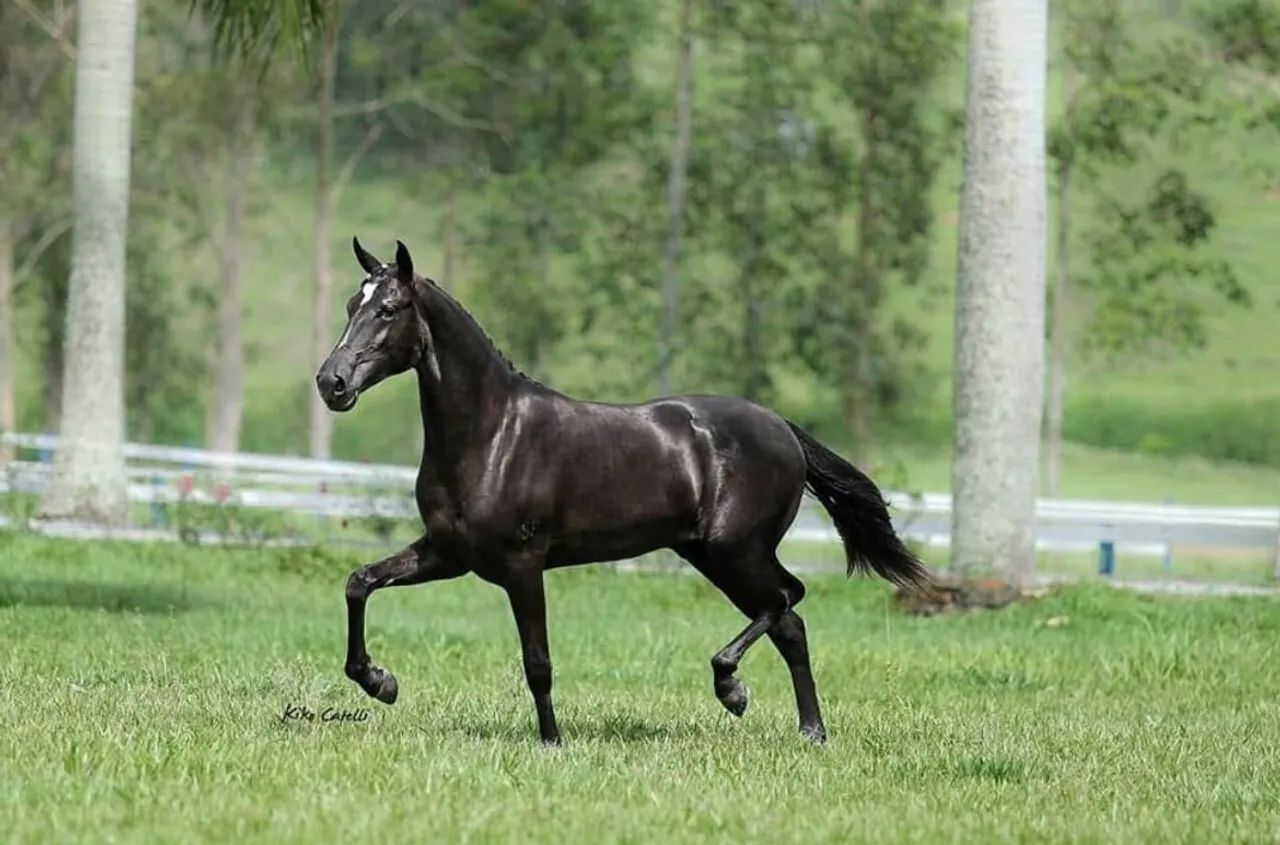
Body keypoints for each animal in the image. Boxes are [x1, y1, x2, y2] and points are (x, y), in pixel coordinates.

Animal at [315, 237, 929, 746]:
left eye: (388, 309)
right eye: (349, 306)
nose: (331, 383)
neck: (493, 434)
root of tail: (783, 428)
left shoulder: (521, 564)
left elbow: (537, 661)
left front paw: (552, 742)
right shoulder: (448, 554)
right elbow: (358, 583)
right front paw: (380, 682)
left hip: (736, 549)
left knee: (786, 600)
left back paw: (733, 688)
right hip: (710, 555)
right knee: (790, 624)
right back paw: (810, 731)